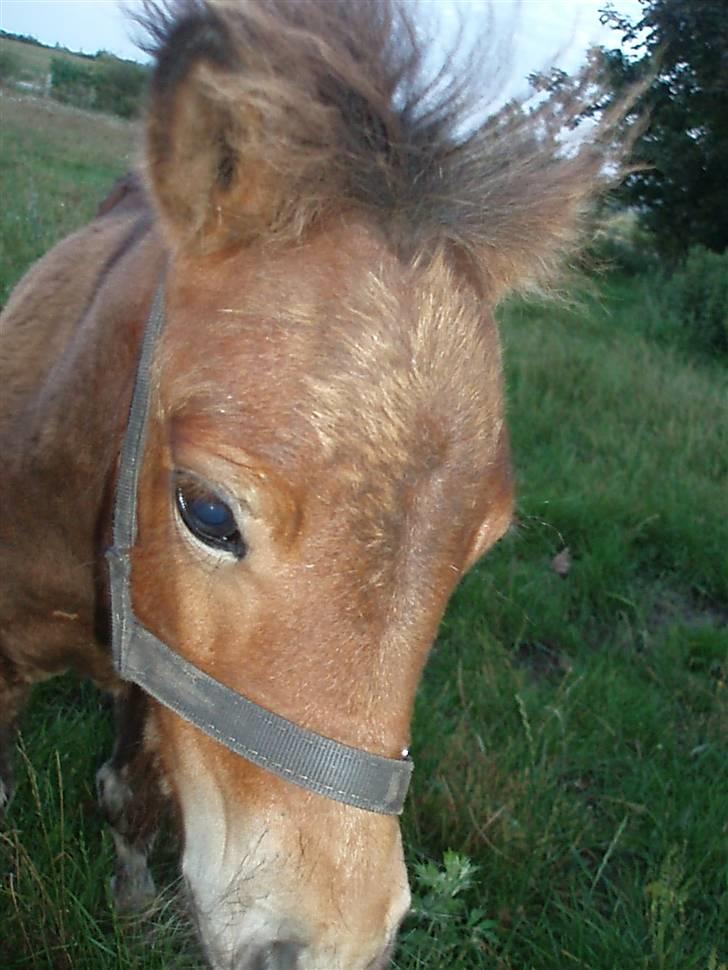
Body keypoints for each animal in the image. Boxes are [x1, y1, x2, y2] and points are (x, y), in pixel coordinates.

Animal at [2, 1, 620, 968]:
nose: (329, 945)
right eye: (206, 511)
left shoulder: (159, 691)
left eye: (479, 548)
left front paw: (133, 900)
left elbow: (131, 793)